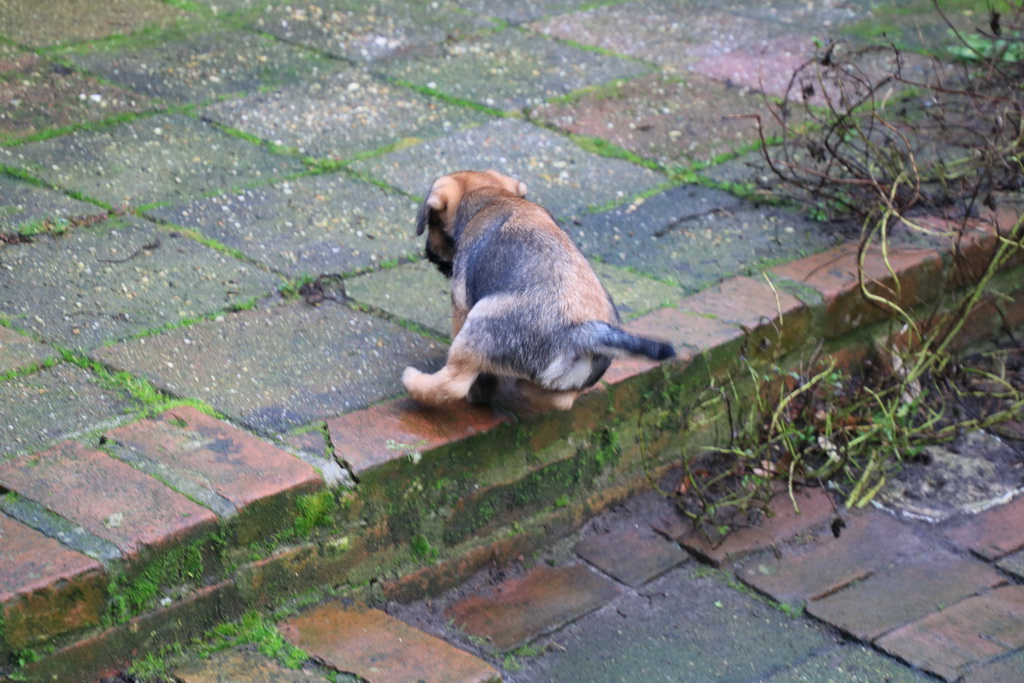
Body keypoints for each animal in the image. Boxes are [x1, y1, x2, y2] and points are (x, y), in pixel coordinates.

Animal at [402, 170, 675, 411]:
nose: (428, 254)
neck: (492, 198)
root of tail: (581, 333)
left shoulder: (461, 305)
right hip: (568, 383)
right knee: (560, 400)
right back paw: (524, 387)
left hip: (479, 325)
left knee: (452, 384)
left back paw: (414, 381)